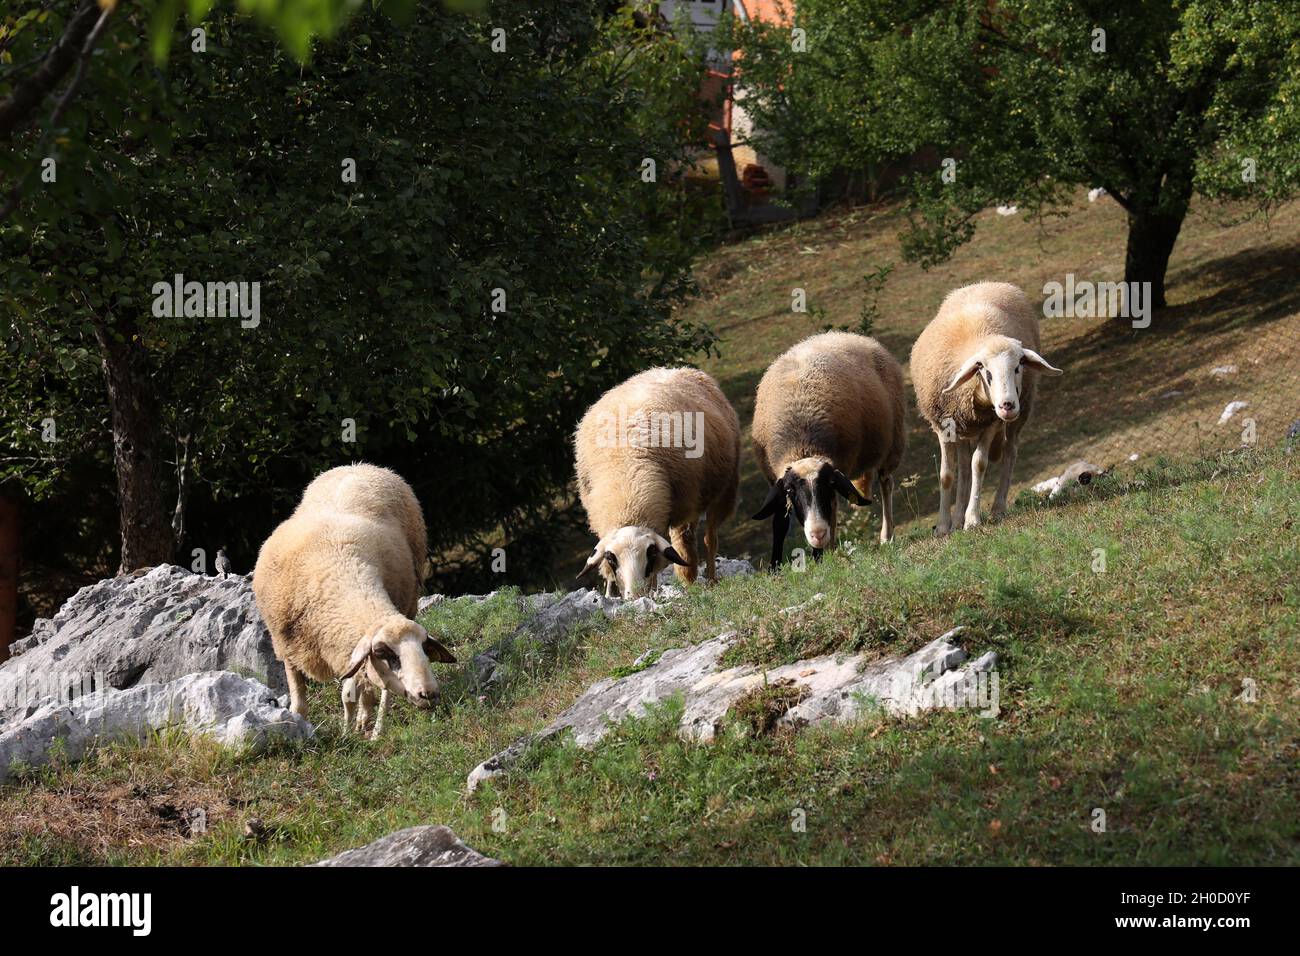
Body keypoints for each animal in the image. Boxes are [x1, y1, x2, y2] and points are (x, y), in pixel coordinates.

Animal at [252, 463, 456, 739]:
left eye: (424, 648)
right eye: (382, 652)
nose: (429, 694)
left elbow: (358, 692)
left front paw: (362, 728)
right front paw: (302, 726)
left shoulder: (349, 645)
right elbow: (301, 701)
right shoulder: (286, 646)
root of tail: (361, 465)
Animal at [573, 367, 741, 599]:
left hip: (723, 492)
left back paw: (709, 579)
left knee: (708, 537)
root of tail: (676, 369)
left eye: (650, 553)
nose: (635, 596)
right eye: (611, 558)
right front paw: (610, 594)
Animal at [750, 331, 907, 567]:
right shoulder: (774, 480)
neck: (802, 444)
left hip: (892, 443)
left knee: (886, 484)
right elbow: (779, 522)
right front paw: (774, 566)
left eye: (828, 484)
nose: (817, 535)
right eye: (790, 491)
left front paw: (821, 559)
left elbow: (832, 511)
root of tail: (850, 335)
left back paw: (886, 537)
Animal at [910, 281, 1063, 533]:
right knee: (962, 467)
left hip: (1021, 412)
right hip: (962, 427)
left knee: (1009, 452)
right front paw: (943, 526)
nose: (1007, 405)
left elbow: (979, 464)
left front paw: (972, 519)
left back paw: (996, 508)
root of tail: (985, 283)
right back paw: (956, 519)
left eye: (1019, 365)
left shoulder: (992, 423)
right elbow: (947, 475)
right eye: (984, 369)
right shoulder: (942, 425)